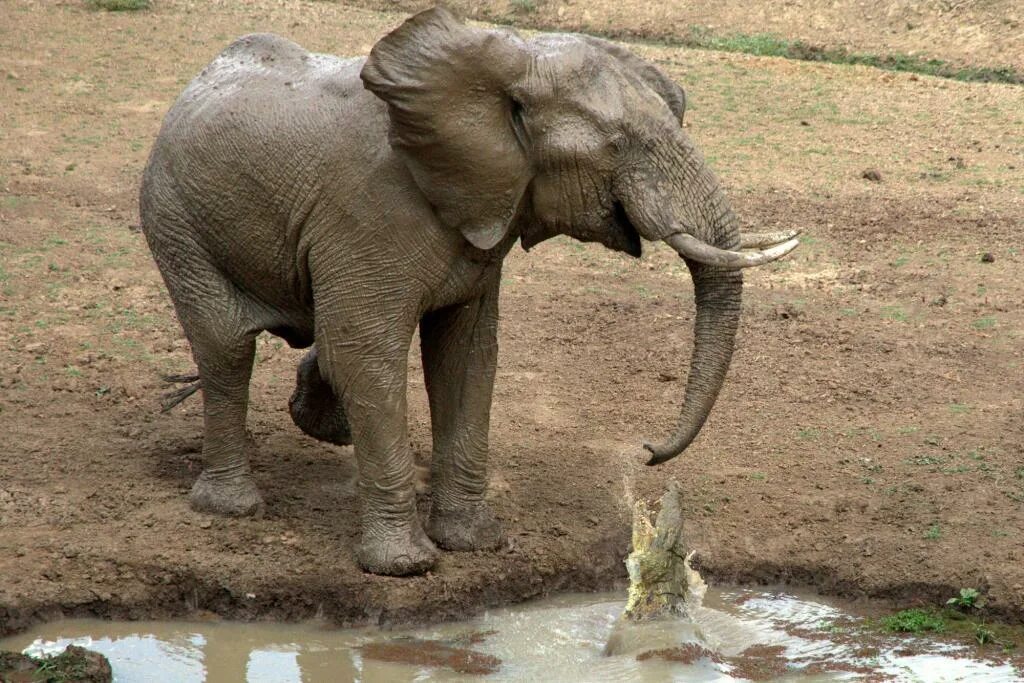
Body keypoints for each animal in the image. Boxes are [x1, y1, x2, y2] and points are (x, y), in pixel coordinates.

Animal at [140, 9, 798, 577]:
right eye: (618, 144)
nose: (648, 451)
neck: (505, 68)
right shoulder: (367, 213)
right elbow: (367, 353)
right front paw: (406, 566)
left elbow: (466, 357)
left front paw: (475, 543)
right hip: (175, 219)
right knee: (227, 349)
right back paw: (233, 507)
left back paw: (320, 421)